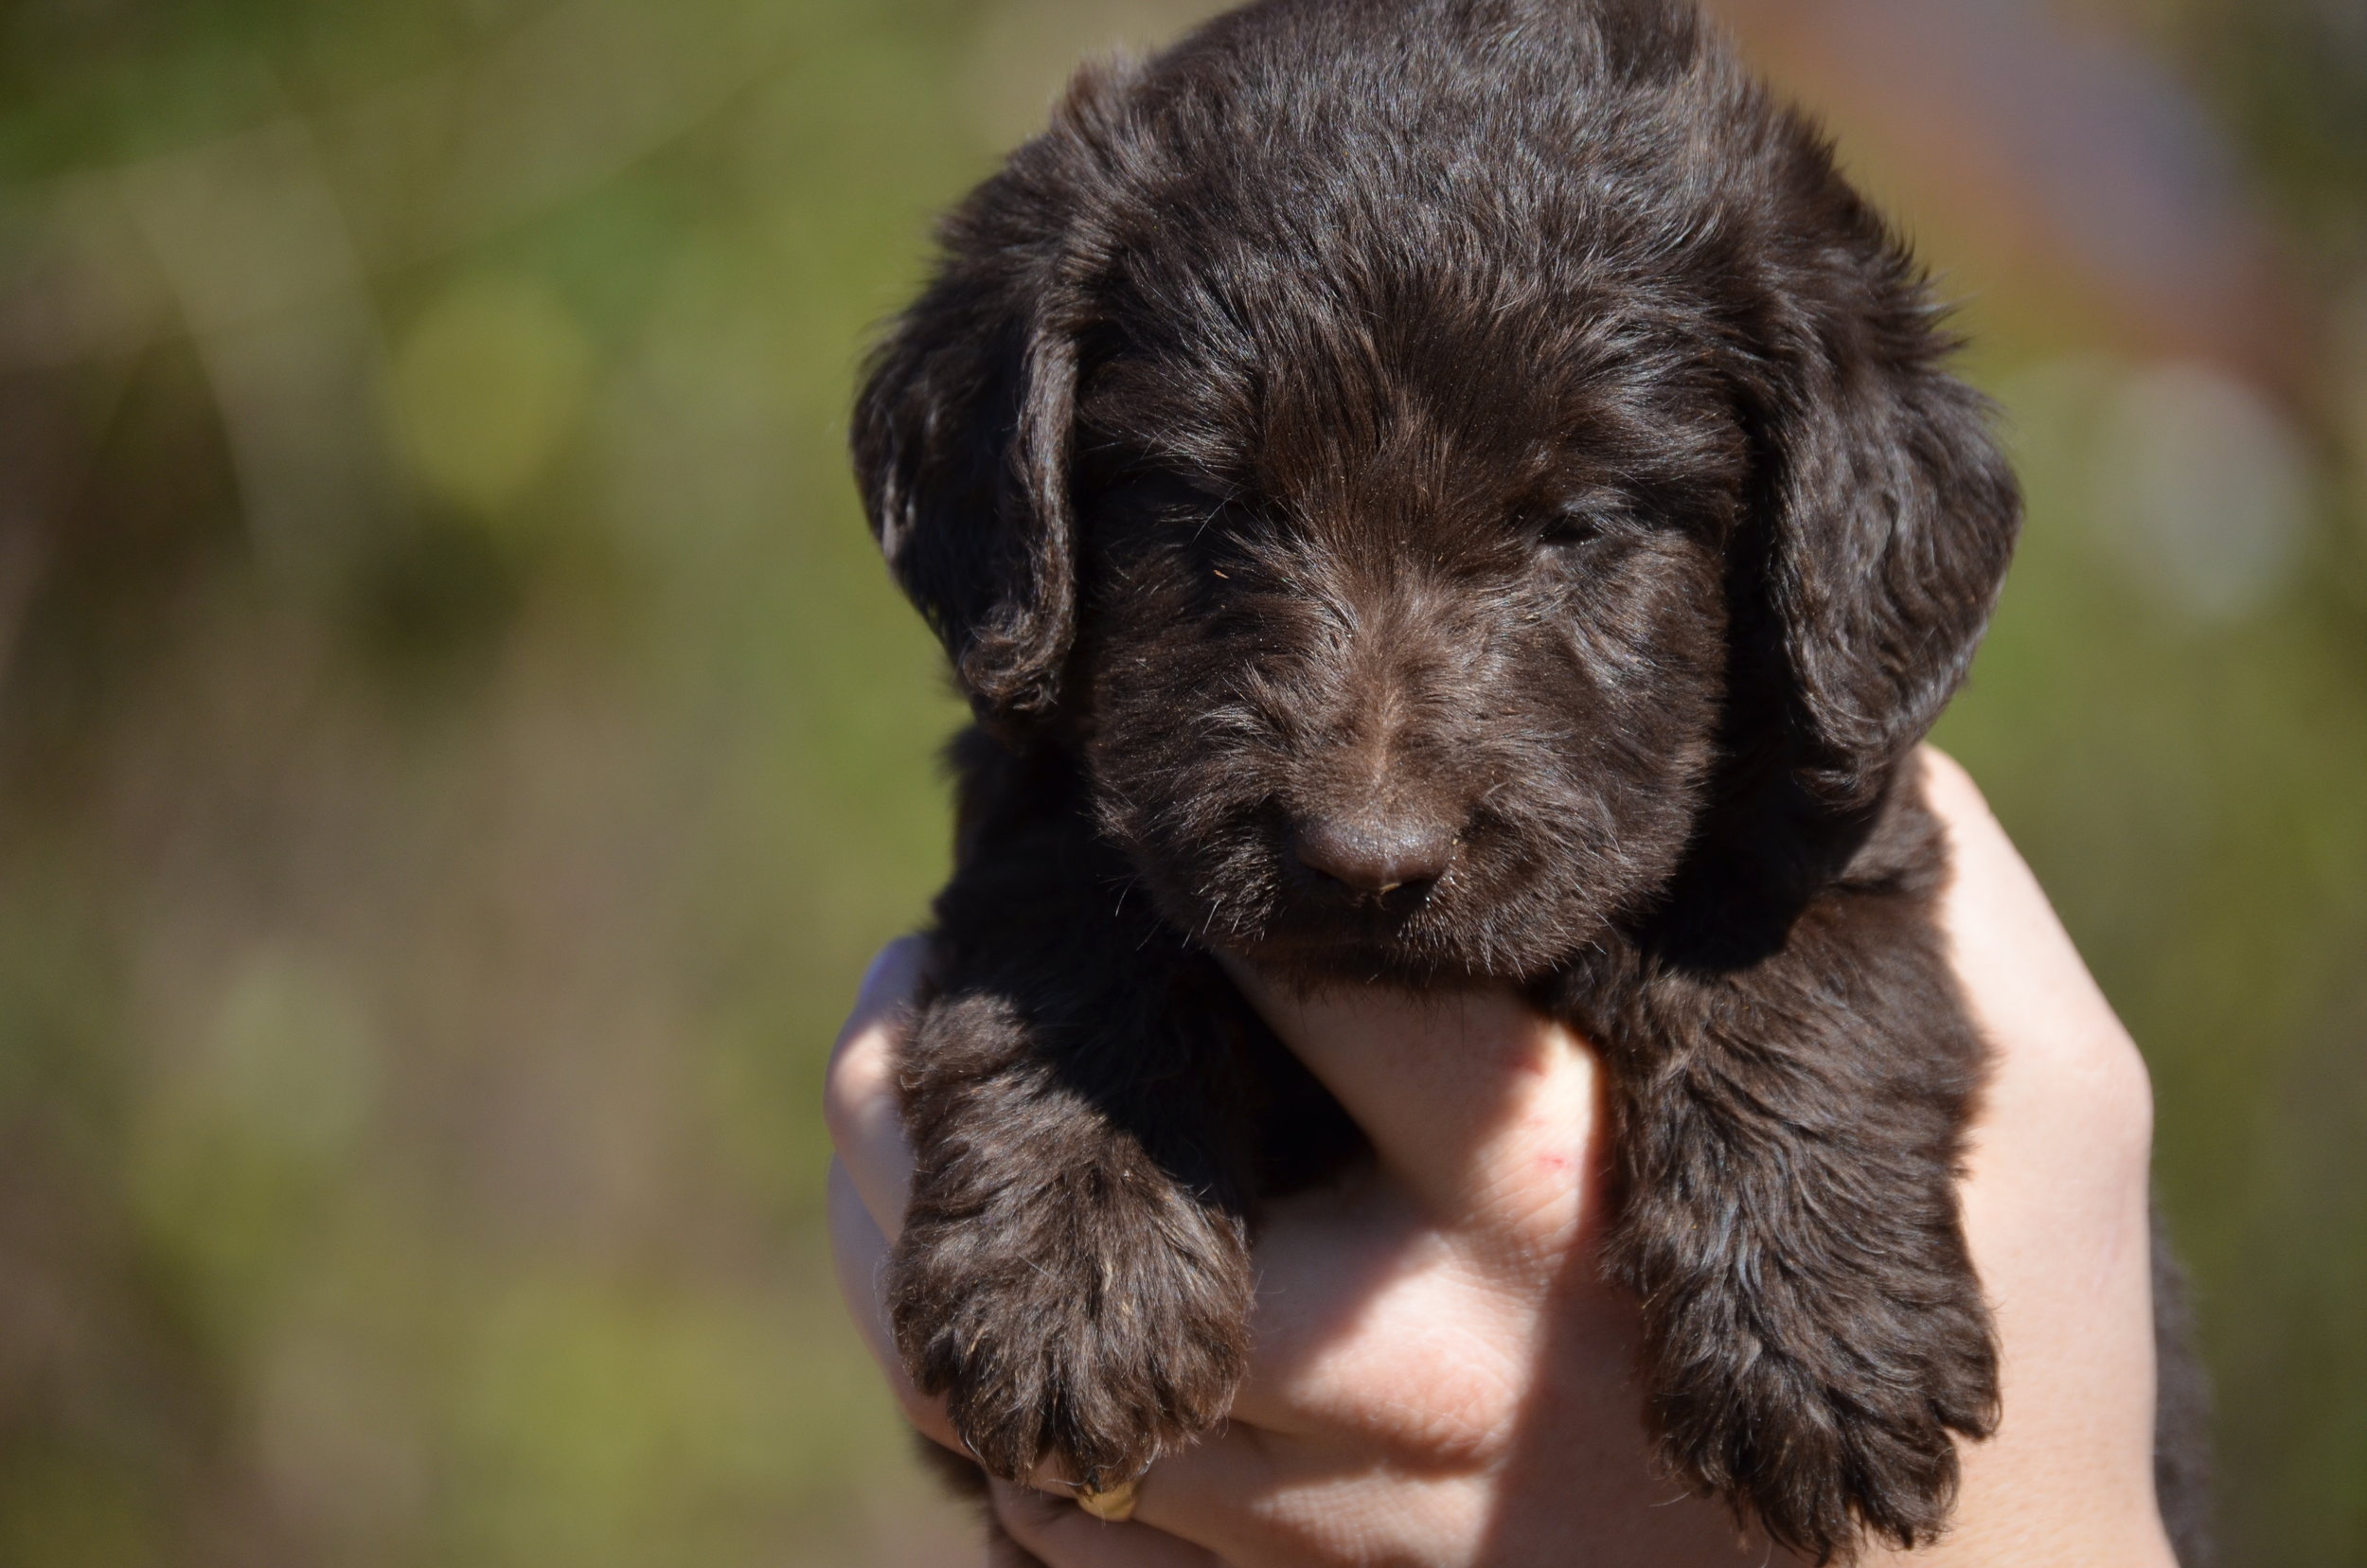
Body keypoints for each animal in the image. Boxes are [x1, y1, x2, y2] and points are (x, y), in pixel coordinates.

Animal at [847, 0, 2197, 1562]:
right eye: (1217, 507)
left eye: (1576, 523)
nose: (1364, 861)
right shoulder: (1050, 785)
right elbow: (1071, 923)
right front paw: (1071, 1271)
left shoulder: (1840, 798)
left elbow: (1805, 974)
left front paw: (1823, 1347)